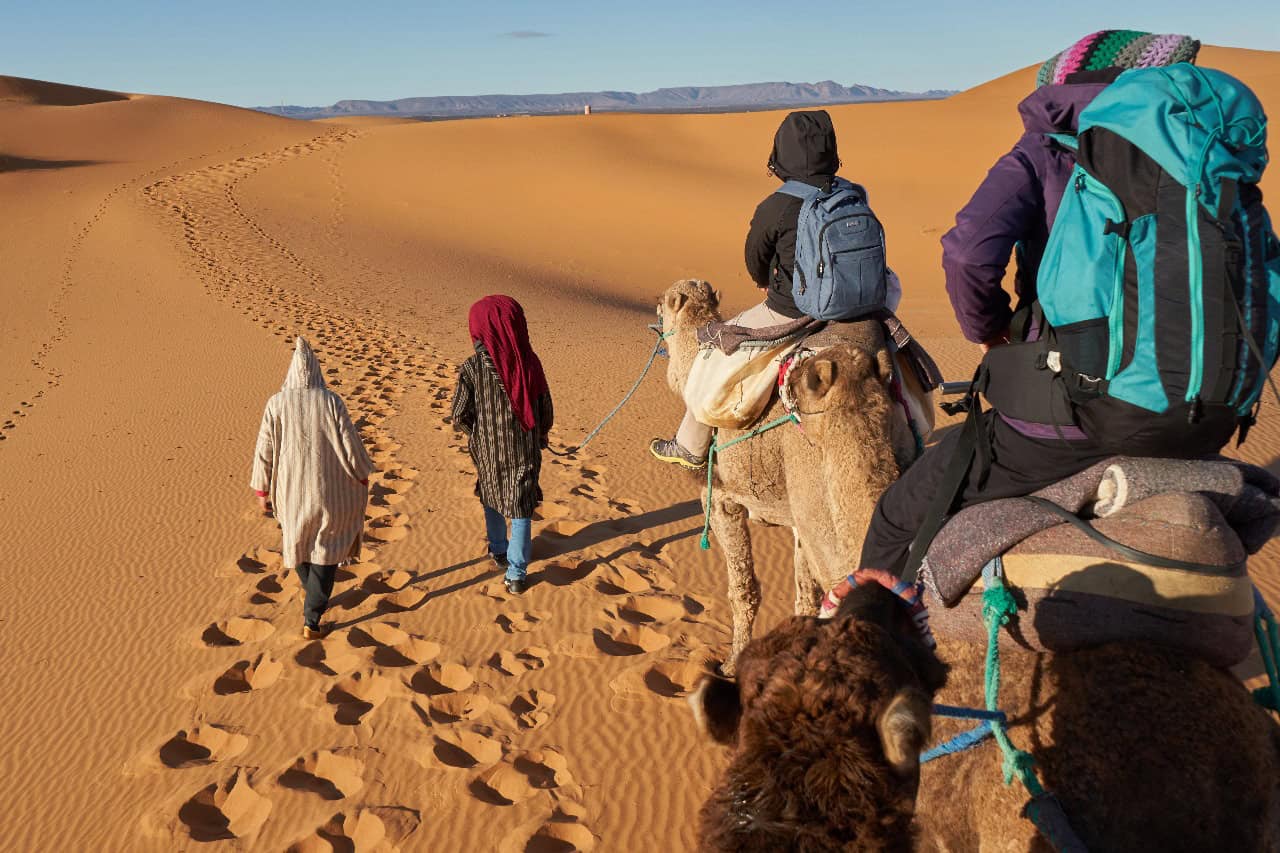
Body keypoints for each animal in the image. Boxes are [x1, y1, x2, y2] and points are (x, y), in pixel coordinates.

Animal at [660, 279, 921, 671]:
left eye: (662, 302)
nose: (655, 309)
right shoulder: (798, 522)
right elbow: (805, 599)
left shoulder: (721, 499)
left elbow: (743, 589)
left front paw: (730, 664)